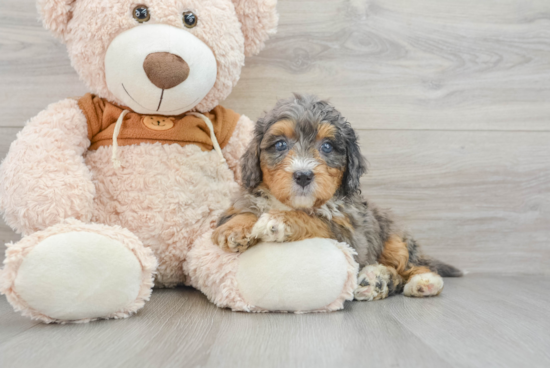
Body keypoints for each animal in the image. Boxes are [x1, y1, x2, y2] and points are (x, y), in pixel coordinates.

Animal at [213, 95, 464, 302]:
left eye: (327, 146)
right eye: (280, 144)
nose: (303, 175)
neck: (291, 204)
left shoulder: (348, 234)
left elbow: (315, 220)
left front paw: (278, 221)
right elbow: (243, 211)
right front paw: (234, 229)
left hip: (395, 239)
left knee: (410, 266)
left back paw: (423, 282)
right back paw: (376, 281)